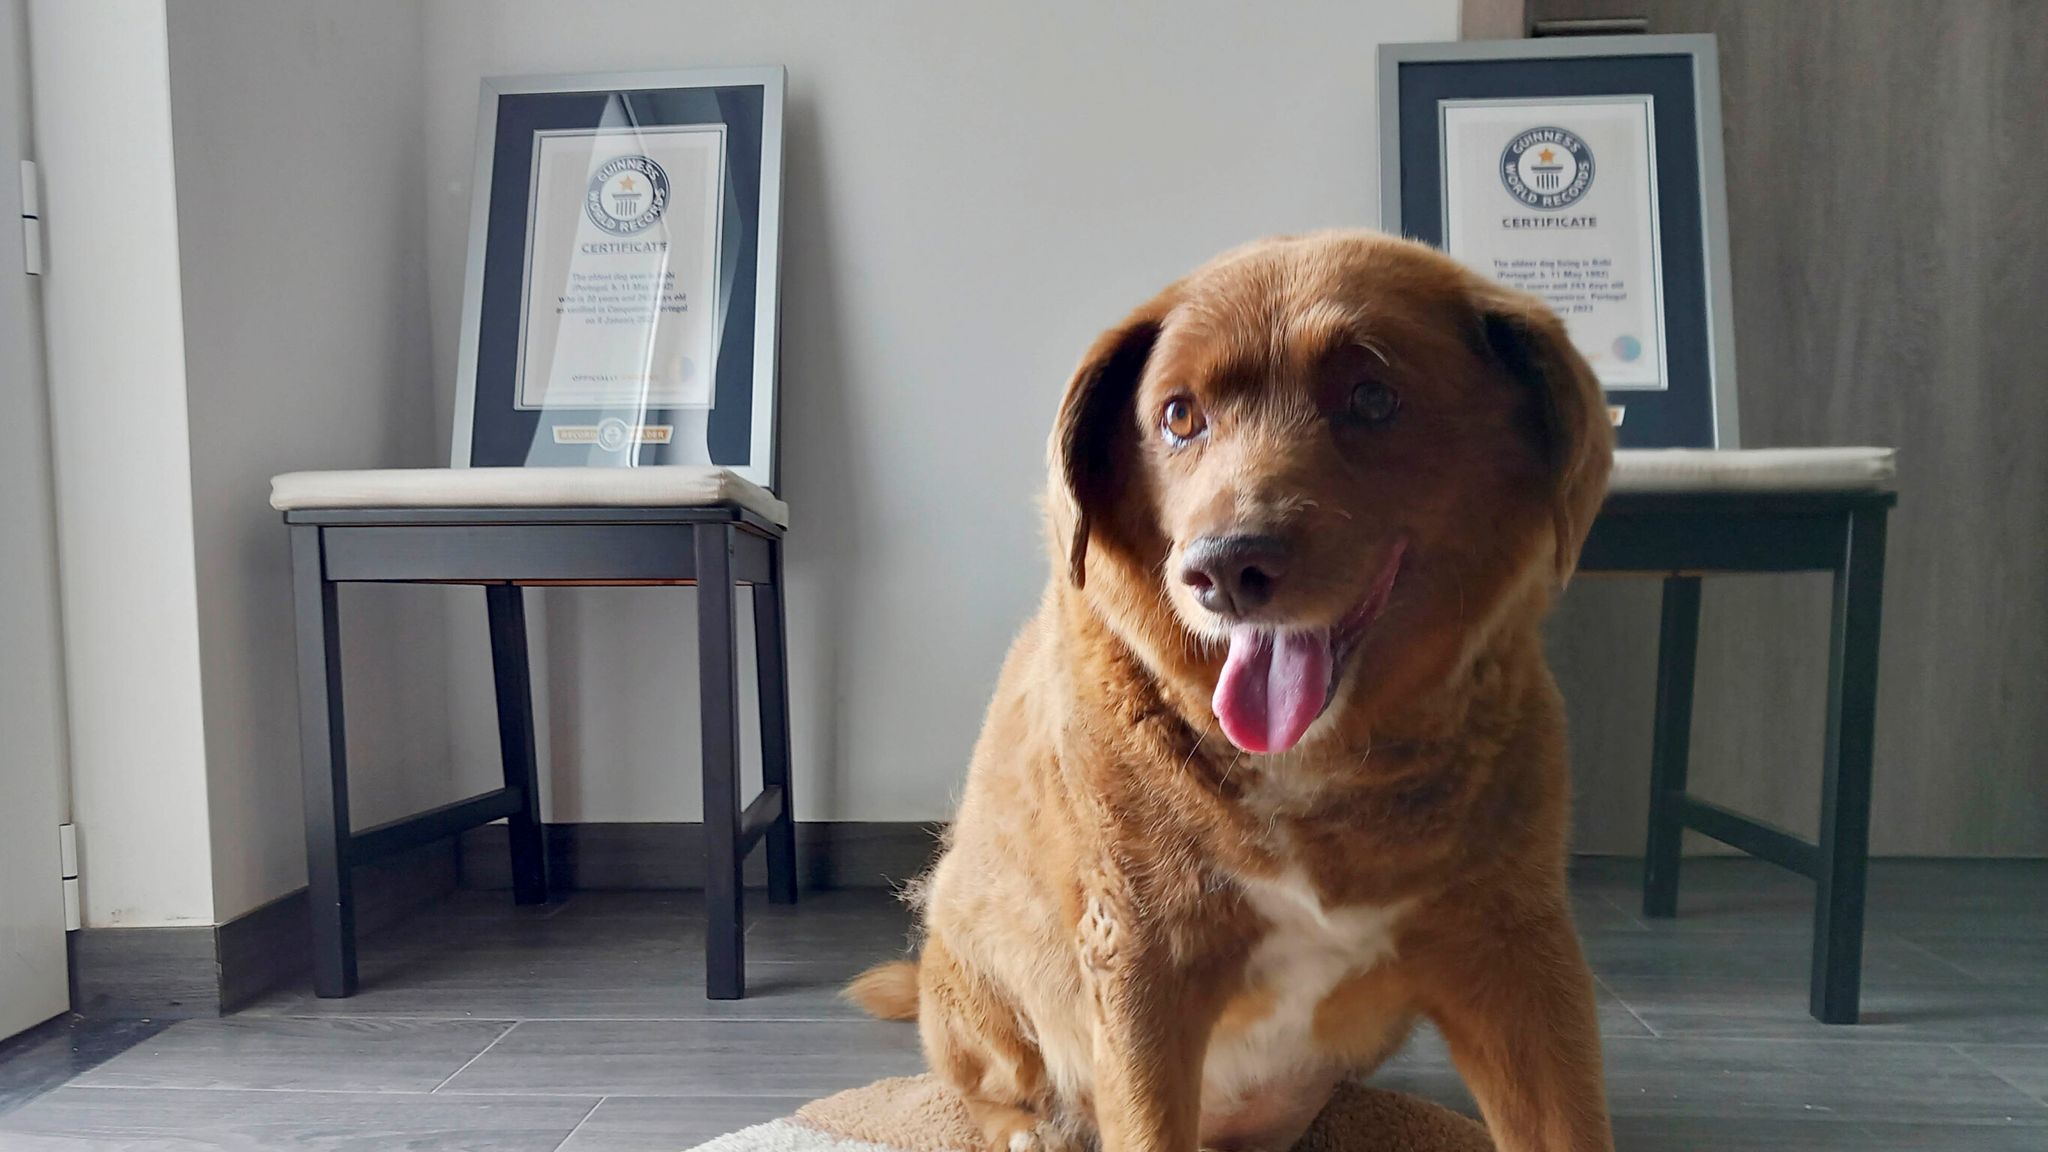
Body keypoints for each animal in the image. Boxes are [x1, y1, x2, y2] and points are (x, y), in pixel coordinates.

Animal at [847, 230, 1613, 1147]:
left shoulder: (1517, 953)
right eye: (1179, 416)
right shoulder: (1142, 958)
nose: (1222, 569)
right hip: (975, 968)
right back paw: (1026, 1126)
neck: (1315, 768)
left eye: (1373, 397)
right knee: (982, 1084)